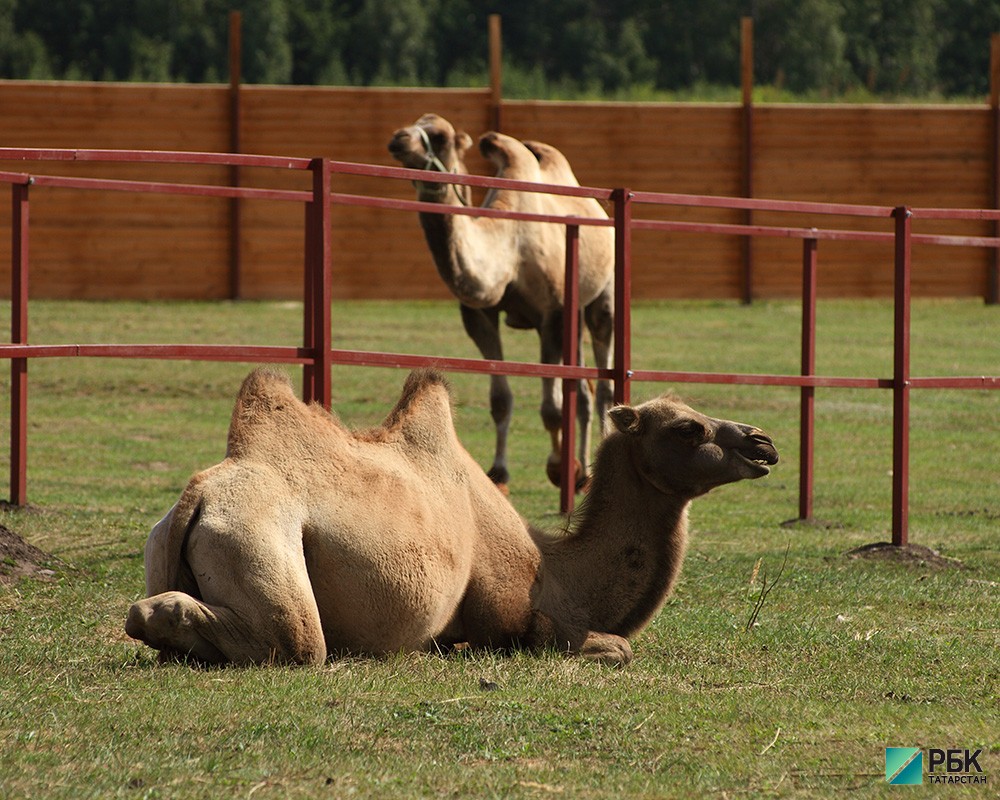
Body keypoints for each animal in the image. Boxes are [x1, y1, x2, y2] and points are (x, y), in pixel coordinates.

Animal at [127, 370, 780, 668]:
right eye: (688, 428)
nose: (763, 443)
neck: (555, 569)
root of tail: (196, 496)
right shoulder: (517, 618)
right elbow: (615, 645)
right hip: (261, 540)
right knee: (292, 639)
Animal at [386, 111, 612, 488]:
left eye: (440, 136)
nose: (398, 139)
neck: (508, 250)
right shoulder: (481, 316)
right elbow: (500, 400)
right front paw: (499, 472)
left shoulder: (551, 314)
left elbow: (552, 409)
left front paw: (557, 467)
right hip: (576, 311)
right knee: (583, 391)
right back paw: (583, 472)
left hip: (600, 299)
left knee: (601, 379)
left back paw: (590, 467)